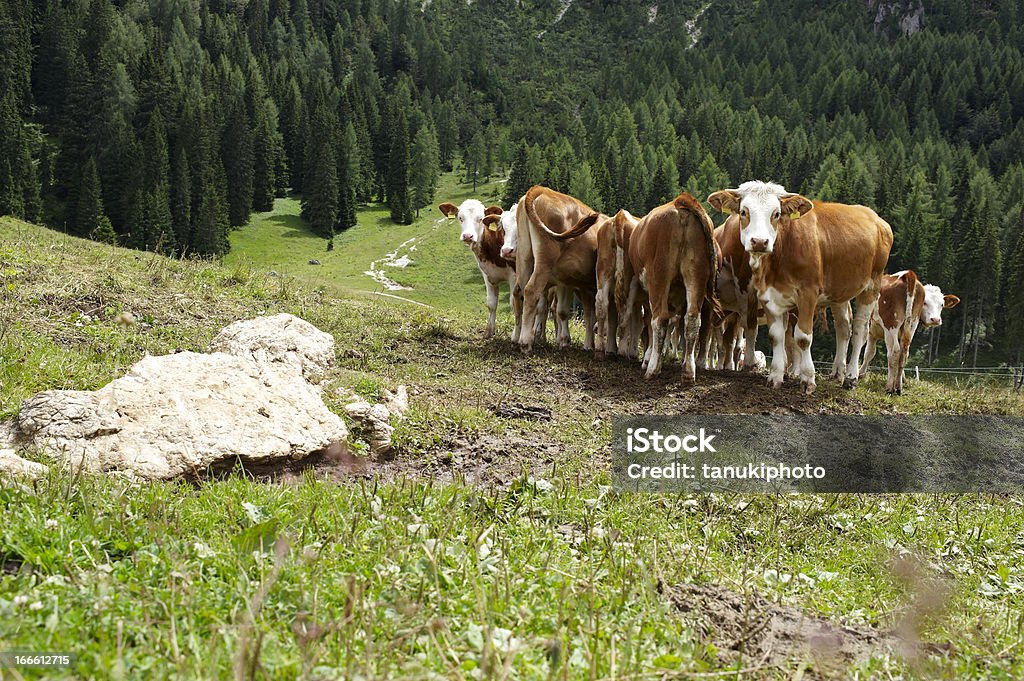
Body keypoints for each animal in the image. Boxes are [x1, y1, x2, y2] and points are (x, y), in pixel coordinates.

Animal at [440, 197, 520, 337]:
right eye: (460, 218)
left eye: (480, 219)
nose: (468, 236)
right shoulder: (487, 274)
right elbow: (491, 303)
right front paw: (489, 332)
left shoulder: (514, 275)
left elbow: (514, 304)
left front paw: (515, 335)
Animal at [618, 193, 716, 378]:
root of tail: (680, 202)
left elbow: (649, 322)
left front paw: (647, 359)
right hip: (696, 273)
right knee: (693, 319)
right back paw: (688, 371)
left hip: (659, 276)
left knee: (660, 319)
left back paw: (652, 369)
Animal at [708, 180, 892, 393]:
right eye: (744, 212)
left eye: (776, 214)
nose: (760, 242)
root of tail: (876, 218)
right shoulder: (769, 295)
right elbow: (776, 336)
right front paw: (775, 377)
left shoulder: (808, 294)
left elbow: (803, 337)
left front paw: (807, 379)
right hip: (839, 292)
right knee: (844, 327)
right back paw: (838, 372)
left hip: (872, 285)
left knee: (859, 331)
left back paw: (851, 377)